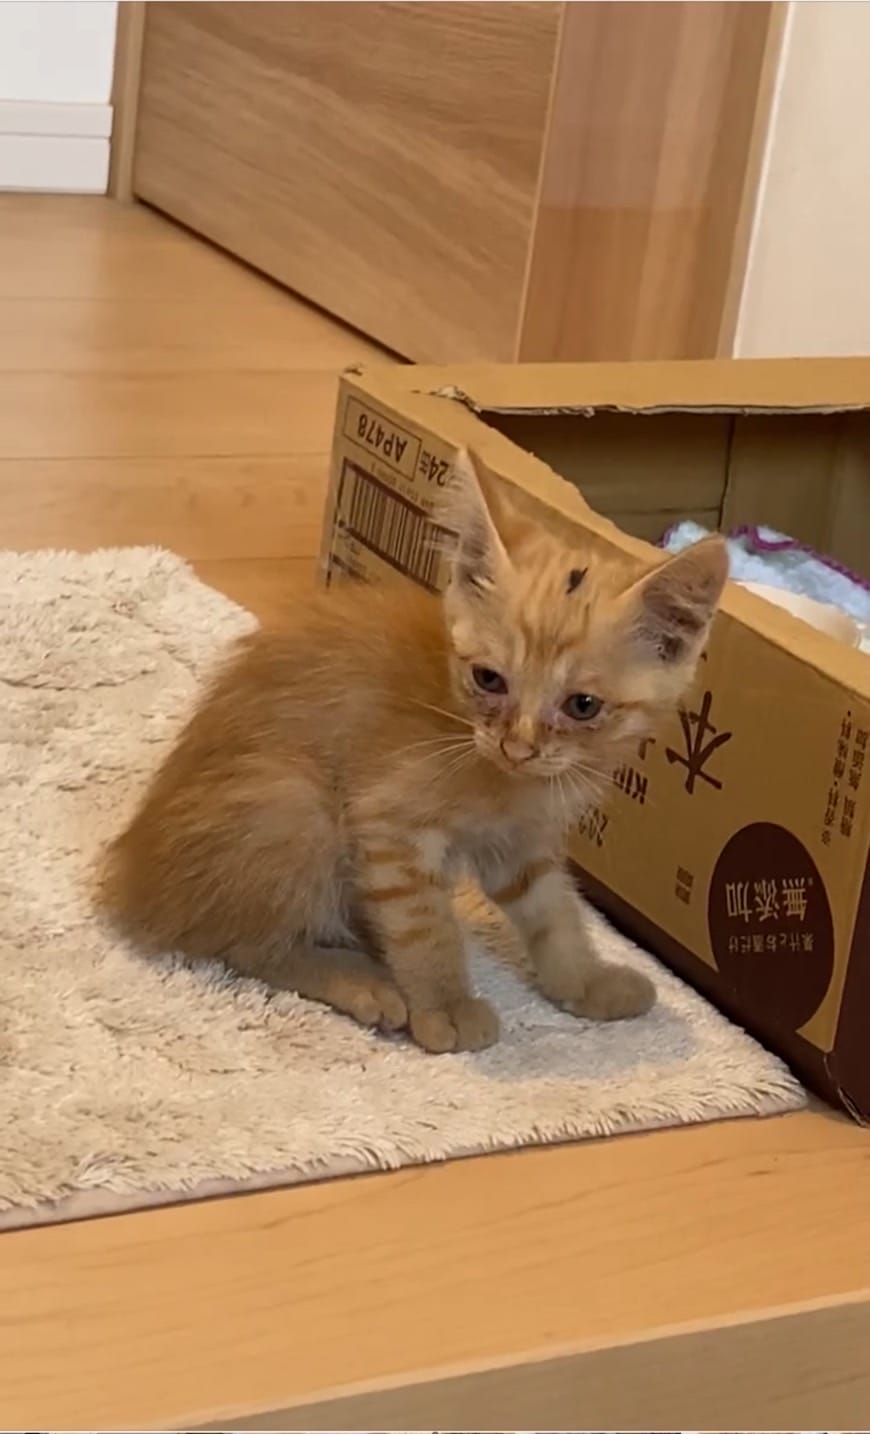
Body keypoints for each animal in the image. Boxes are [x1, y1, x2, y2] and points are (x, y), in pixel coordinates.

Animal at [101, 449, 728, 1053]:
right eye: (488, 679)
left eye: (582, 706)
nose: (518, 745)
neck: (503, 777)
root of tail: (133, 882)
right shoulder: (388, 823)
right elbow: (426, 926)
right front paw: (448, 1007)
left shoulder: (522, 844)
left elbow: (555, 913)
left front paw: (587, 982)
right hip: (295, 806)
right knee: (248, 946)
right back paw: (361, 979)